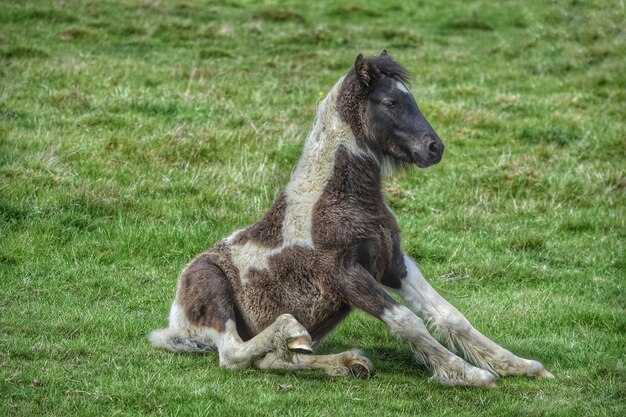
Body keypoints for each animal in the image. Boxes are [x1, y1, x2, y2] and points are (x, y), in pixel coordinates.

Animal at [151, 52, 552, 386]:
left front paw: (520, 366)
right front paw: (467, 373)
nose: (434, 148)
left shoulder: (393, 263)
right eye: (390, 102)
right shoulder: (346, 276)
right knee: (233, 353)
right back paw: (292, 331)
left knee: (272, 361)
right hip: (214, 290)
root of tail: (176, 322)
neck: (333, 200)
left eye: (411, 99)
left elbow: (452, 316)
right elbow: (407, 321)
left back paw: (346, 362)